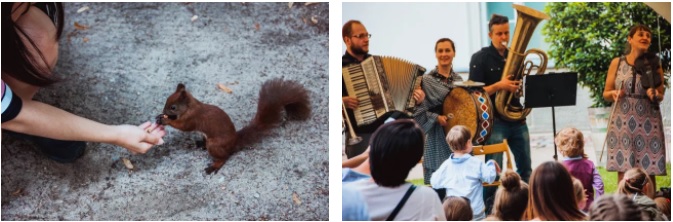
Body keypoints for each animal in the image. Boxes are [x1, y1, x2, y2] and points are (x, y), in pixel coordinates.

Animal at [155, 79, 310, 174]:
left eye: (173, 107)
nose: (163, 112)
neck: (191, 107)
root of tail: (234, 142)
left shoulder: (192, 118)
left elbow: (183, 126)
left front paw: (165, 121)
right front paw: (160, 117)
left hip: (215, 145)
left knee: (225, 157)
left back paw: (214, 166)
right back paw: (200, 144)